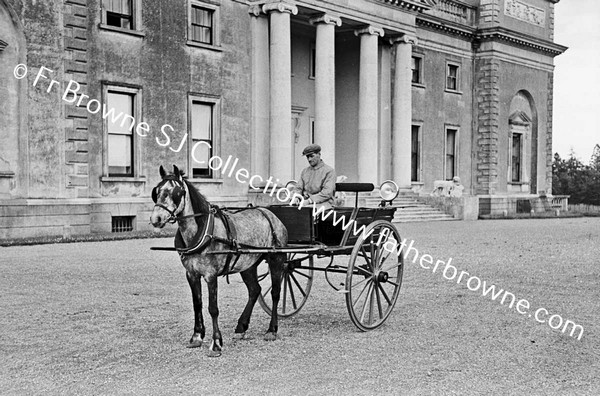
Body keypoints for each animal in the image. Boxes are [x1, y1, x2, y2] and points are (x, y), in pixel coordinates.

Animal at [151, 166, 290, 358]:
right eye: (156, 191)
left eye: (177, 192)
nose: (156, 219)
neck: (201, 232)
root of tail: (270, 214)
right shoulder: (191, 274)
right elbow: (197, 304)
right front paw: (196, 336)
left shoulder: (211, 275)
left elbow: (213, 308)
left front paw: (216, 343)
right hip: (248, 264)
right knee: (254, 290)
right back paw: (241, 327)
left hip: (276, 259)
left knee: (275, 293)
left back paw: (272, 329)